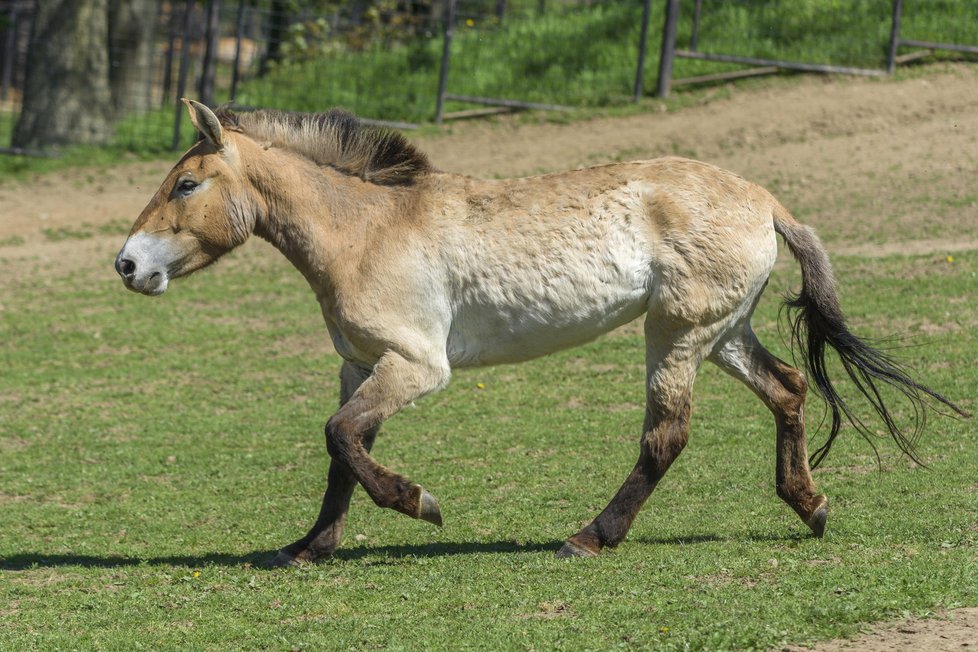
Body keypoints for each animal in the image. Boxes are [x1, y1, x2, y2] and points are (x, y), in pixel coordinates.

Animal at [114, 100, 960, 564]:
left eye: (185, 183)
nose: (127, 264)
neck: (367, 229)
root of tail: (766, 200)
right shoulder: (361, 366)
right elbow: (341, 453)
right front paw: (307, 548)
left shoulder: (416, 366)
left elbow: (341, 438)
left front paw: (419, 503)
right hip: (722, 334)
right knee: (787, 390)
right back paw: (809, 505)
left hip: (676, 336)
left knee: (667, 435)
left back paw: (591, 536)